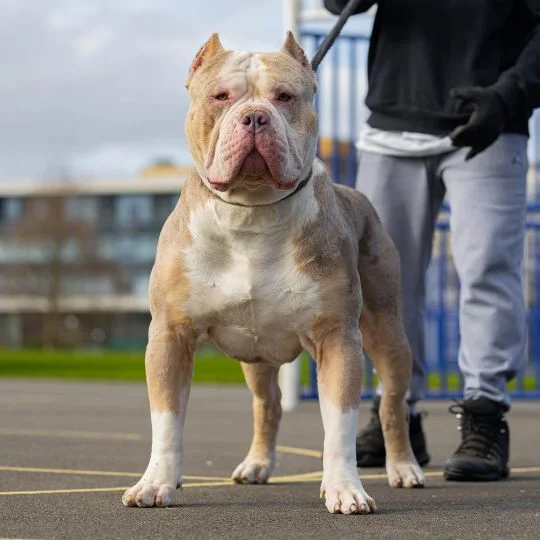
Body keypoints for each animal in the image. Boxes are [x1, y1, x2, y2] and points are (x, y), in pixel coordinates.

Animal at [123, 32, 426, 516]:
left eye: (285, 97)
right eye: (221, 97)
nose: (254, 116)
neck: (251, 212)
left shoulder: (338, 338)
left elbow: (338, 425)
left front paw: (345, 489)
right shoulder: (170, 335)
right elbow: (166, 421)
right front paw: (156, 483)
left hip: (388, 333)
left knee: (393, 403)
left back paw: (403, 468)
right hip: (256, 358)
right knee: (269, 404)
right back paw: (257, 465)